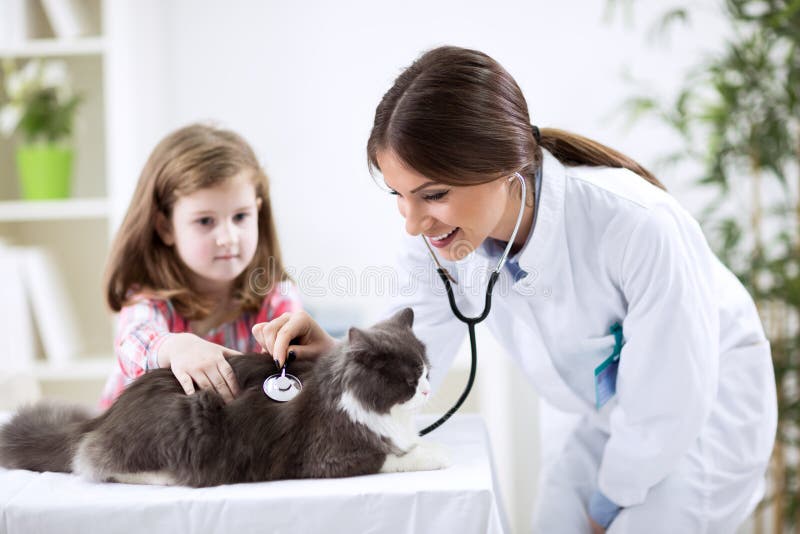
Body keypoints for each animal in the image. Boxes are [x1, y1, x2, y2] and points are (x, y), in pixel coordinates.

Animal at [0, 308, 450, 488]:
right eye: (409, 379)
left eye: (427, 369)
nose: (428, 388)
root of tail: (101, 420)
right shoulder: (330, 456)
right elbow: (391, 457)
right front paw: (435, 455)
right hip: (190, 418)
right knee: (97, 464)